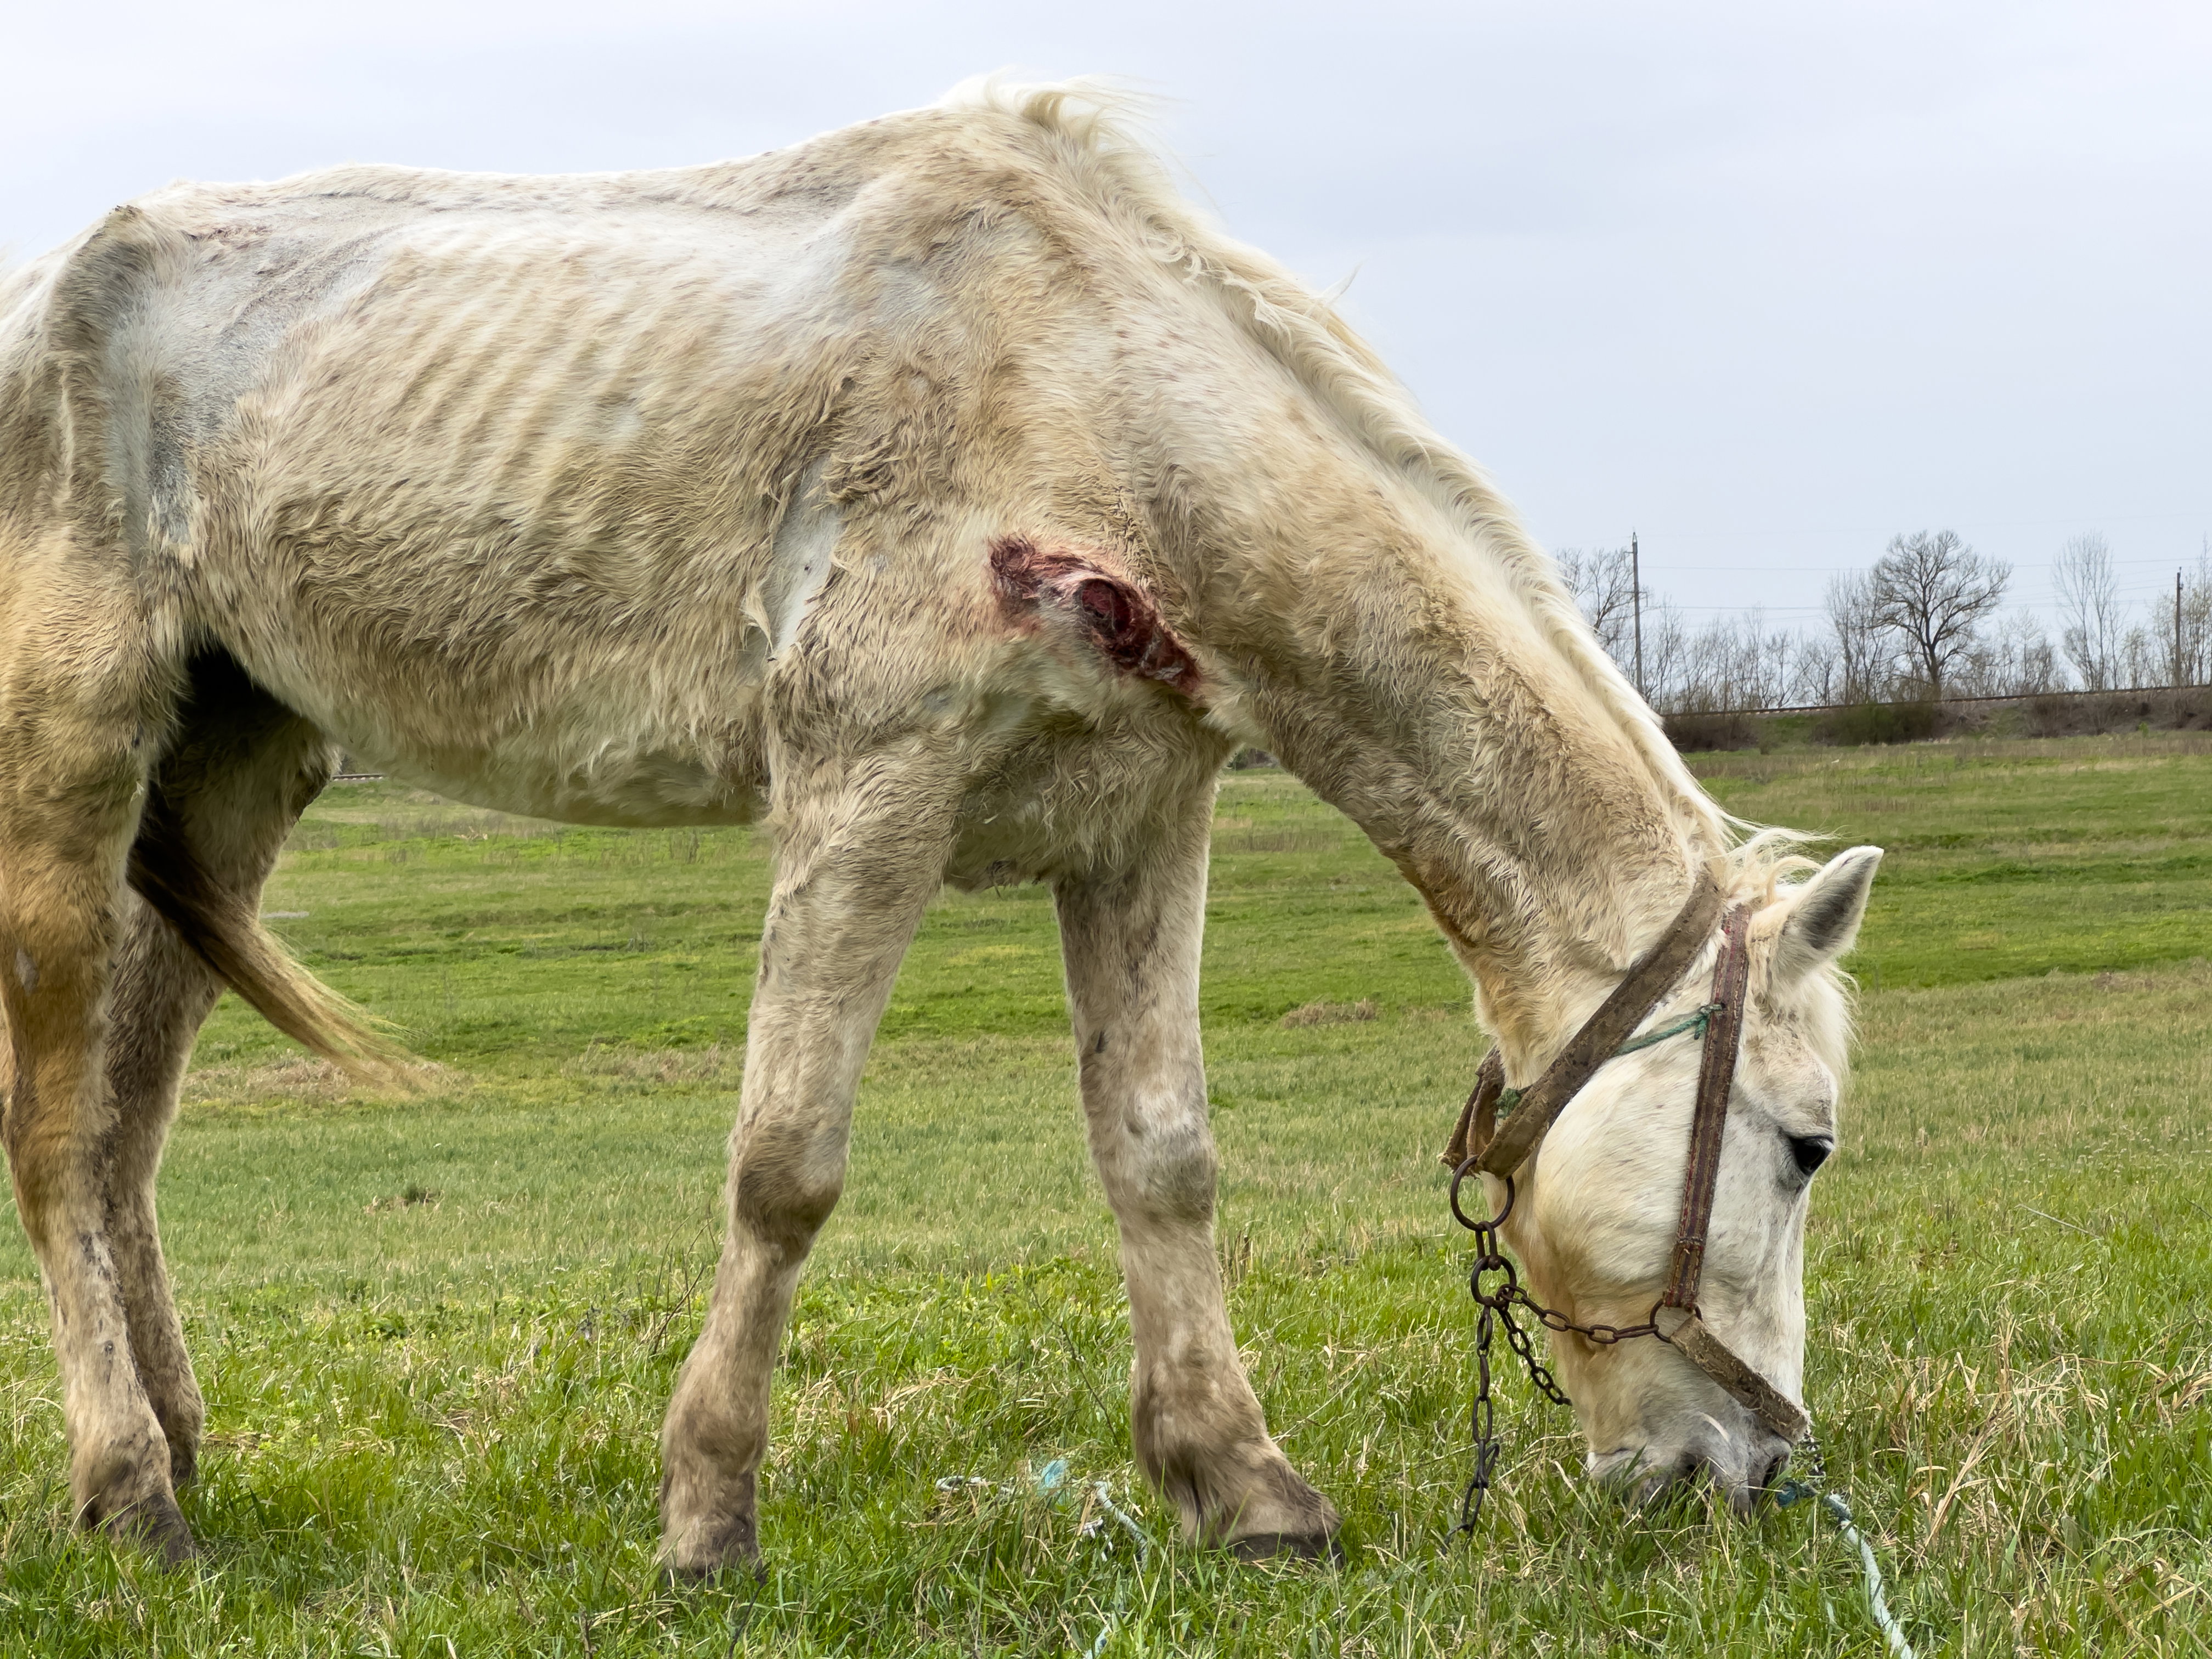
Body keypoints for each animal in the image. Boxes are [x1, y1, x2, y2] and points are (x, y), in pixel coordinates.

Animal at [0, 80, 1880, 1572]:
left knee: (128, 1138)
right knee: (57, 1131)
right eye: (1805, 1146)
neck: (1095, 412)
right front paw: (708, 1517)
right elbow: (787, 1165)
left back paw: (174, 1459)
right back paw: (133, 1493)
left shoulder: (1141, 831)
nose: (1755, 1470)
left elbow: (1164, 1159)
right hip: (72, 772)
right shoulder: (865, 795)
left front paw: (1242, 1490)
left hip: (232, 776)